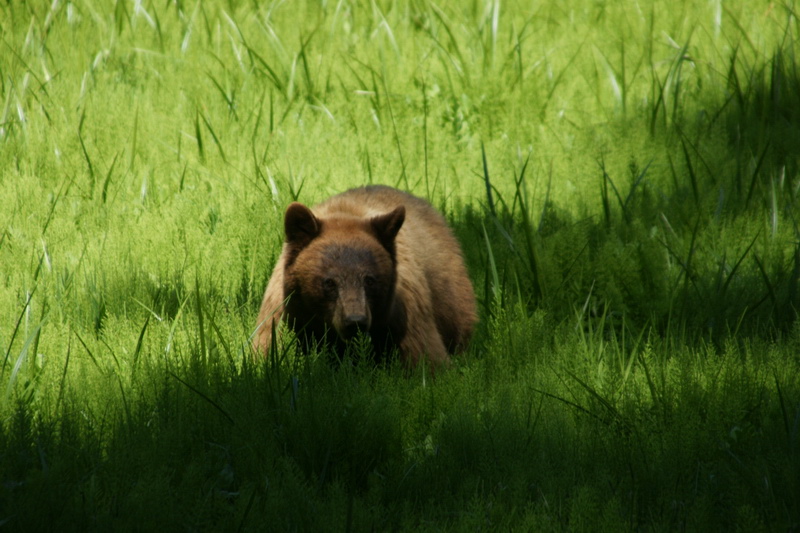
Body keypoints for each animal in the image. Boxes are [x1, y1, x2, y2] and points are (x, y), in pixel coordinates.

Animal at [255, 185, 476, 368]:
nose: (355, 321)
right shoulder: (286, 314)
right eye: (329, 282)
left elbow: (424, 355)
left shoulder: (404, 314)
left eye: (370, 280)